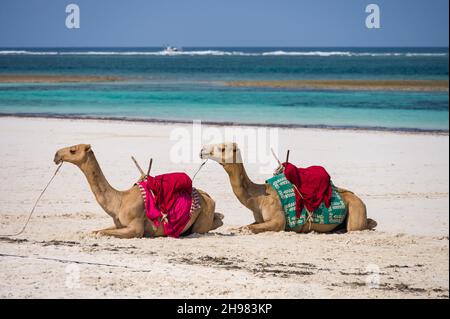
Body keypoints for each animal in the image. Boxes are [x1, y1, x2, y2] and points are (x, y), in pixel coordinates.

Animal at [54, 144, 223, 239]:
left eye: (73, 150)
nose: (56, 155)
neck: (119, 201)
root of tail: (209, 197)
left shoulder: (136, 229)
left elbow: (101, 233)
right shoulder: (119, 225)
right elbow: (96, 230)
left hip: (203, 218)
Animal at [200, 142, 376, 235]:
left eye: (222, 148)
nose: (202, 150)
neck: (259, 198)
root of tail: (360, 201)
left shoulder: (278, 220)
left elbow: (251, 227)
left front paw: (240, 229)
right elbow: (251, 224)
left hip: (356, 209)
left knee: (360, 226)